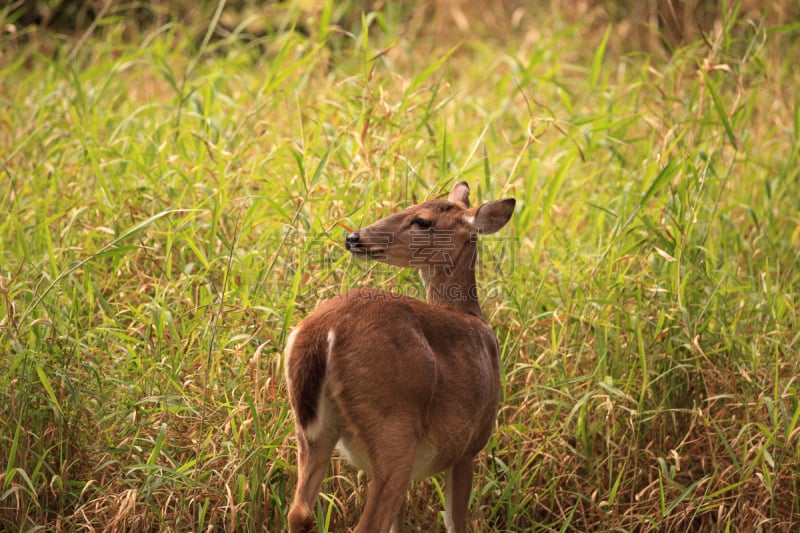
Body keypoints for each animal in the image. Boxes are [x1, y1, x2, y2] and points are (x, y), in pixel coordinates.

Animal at [284, 182, 516, 532]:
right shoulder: (469, 446)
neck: (471, 316)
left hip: (312, 429)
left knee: (298, 512)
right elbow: (454, 522)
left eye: (422, 220)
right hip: (394, 427)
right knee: (367, 525)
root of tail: (324, 330)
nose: (354, 237)